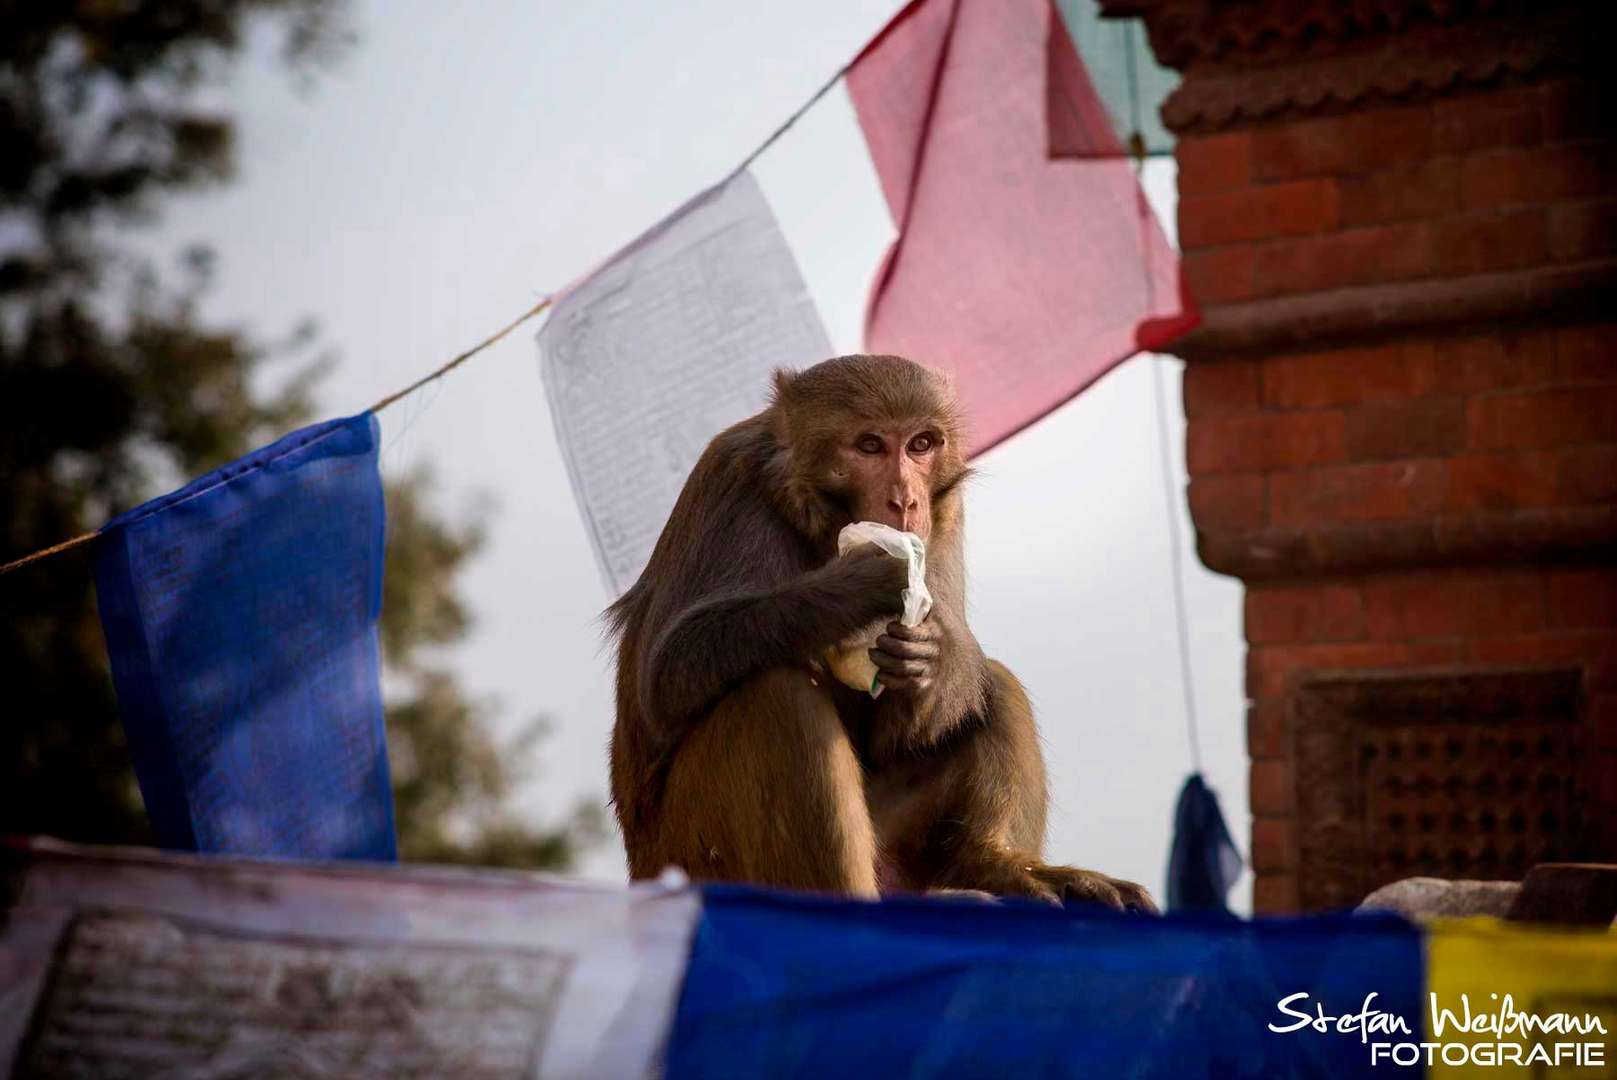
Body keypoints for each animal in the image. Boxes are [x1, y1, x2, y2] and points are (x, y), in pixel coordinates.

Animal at [604, 354, 1151, 911]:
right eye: (870, 446)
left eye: (922, 444)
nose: (905, 501)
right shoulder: (728, 478)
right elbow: (666, 676)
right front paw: (858, 584)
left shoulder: (947, 511)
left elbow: (913, 719)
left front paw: (933, 656)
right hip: (690, 852)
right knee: (774, 696)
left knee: (990, 682)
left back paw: (993, 864)